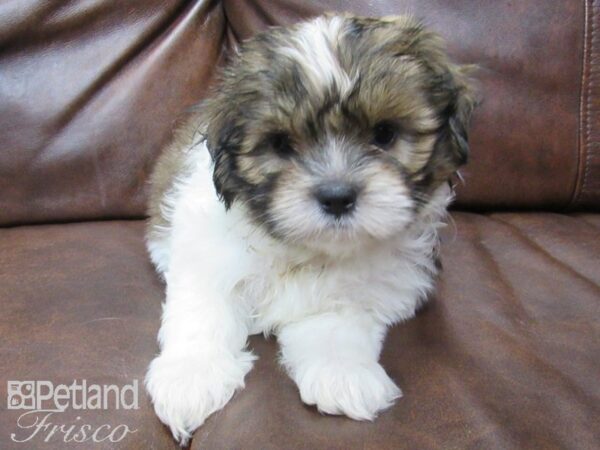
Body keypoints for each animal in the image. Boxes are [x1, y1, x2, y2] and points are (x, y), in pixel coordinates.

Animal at [144, 14, 474, 446]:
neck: (304, 250)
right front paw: (191, 378)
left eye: (384, 134)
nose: (337, 196)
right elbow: (203, 311)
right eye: (282, 144)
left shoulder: (358, 295)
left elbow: (334, 329)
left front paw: (343, 375)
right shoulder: (207, 254)